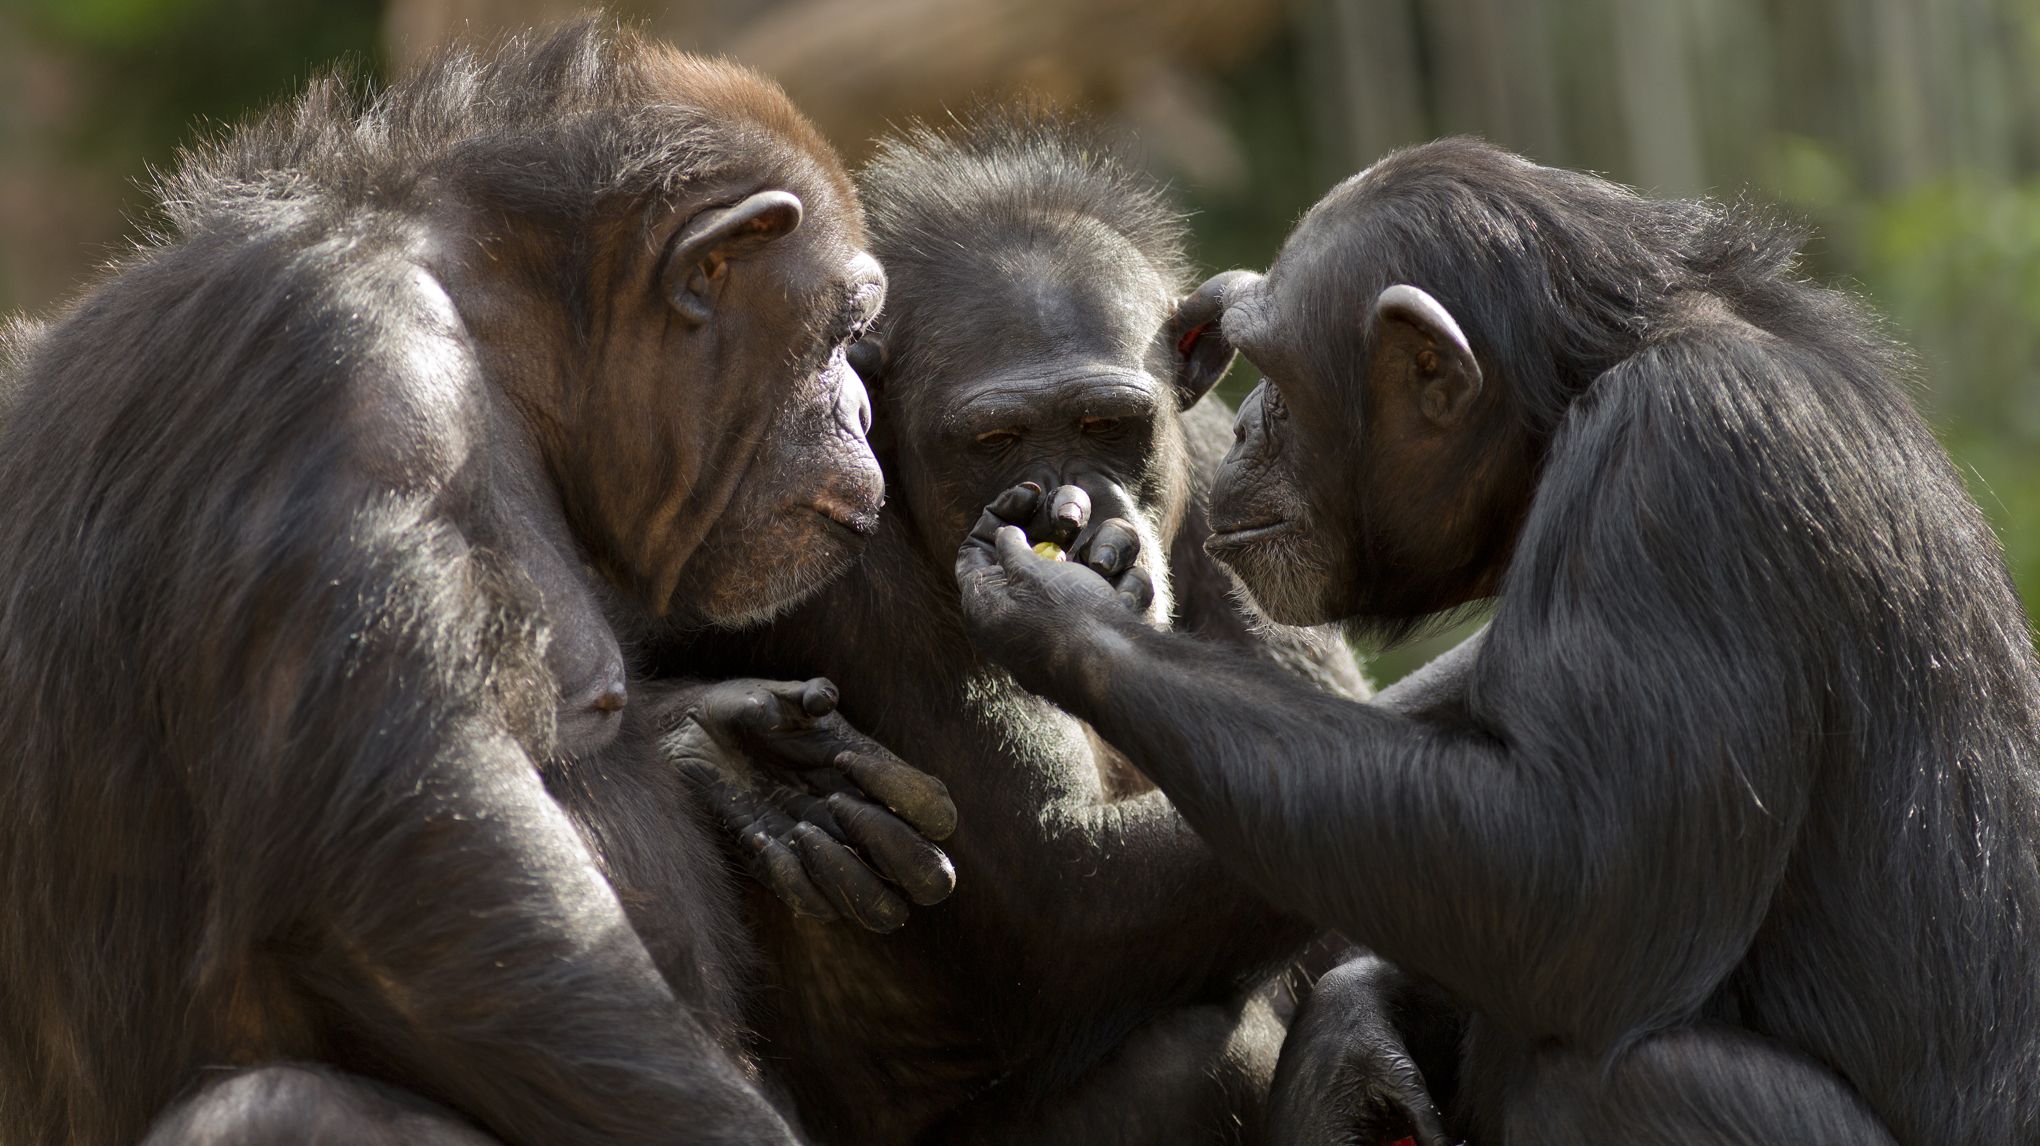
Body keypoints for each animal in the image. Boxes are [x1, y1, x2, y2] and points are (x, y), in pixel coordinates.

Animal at [0, 20, 954, 1141]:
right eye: (845, 333)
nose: (860, 407)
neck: (496, 331)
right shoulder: (350, 377)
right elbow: (423, 871)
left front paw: (738, 758)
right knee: (281, 1102)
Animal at [669, 109, 1370, 1141]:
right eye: (995, 440)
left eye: (1107, 423)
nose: (1070, 508)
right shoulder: (833, 572)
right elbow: (1059, 882)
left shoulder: (1236, 479)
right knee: (1193, 1056)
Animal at [950, 135, 2040, 1141]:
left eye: (1276, 373)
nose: (1247, 422)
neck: (1575, 396)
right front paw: (1354, 1039)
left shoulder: (1682, 467)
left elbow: (1578, 879)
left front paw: (1064, 611)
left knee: (1615, 1073)